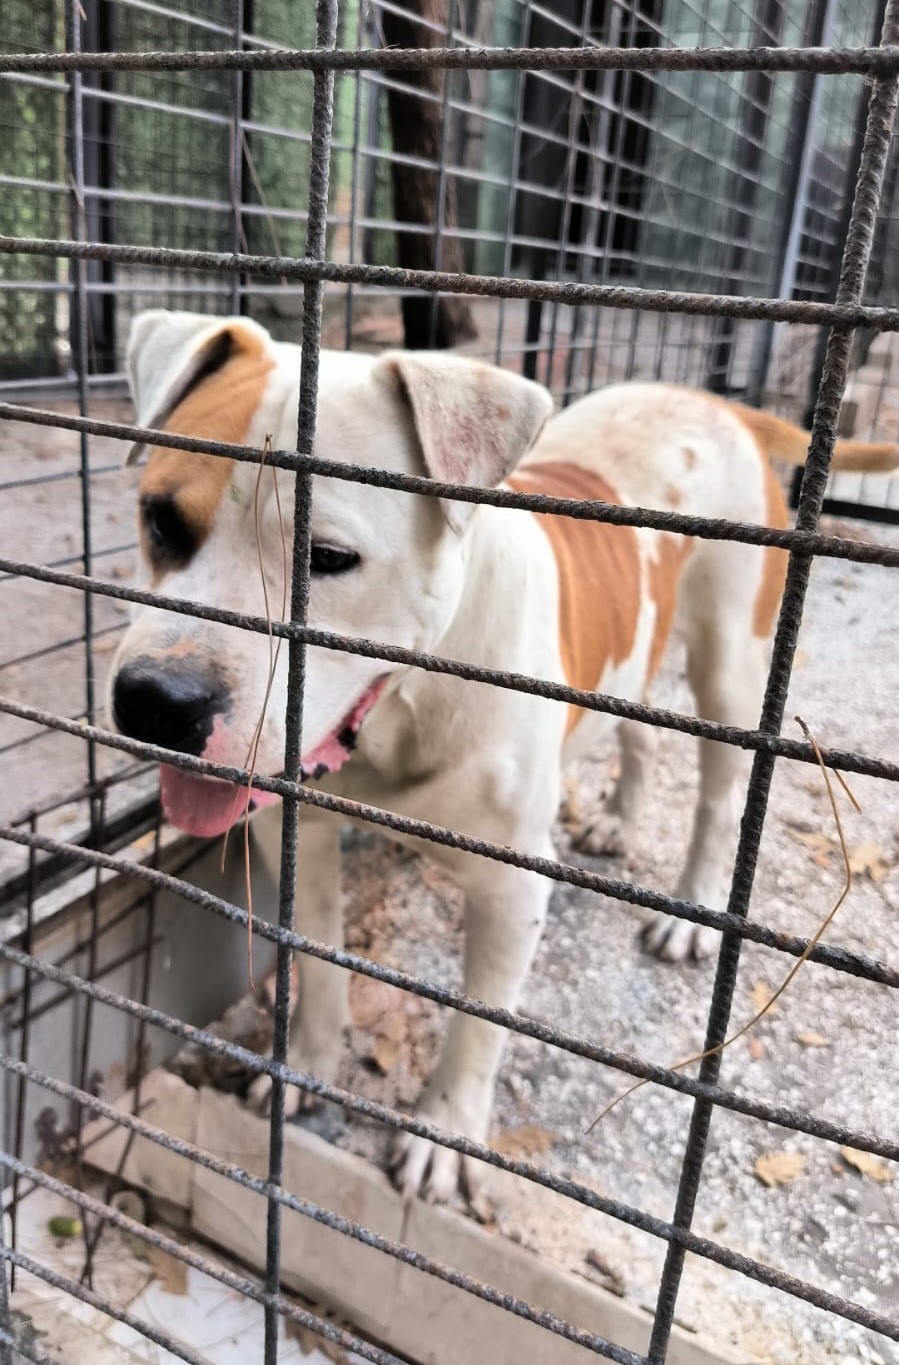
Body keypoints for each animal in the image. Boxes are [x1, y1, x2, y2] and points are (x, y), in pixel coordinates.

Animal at [109, 307, 894, 1195]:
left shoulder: (511, 890)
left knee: (719, 793)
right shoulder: (296, 835)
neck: (406, 706)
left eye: (328, 558)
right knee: (638, 735)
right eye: (161, 520)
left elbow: (477, 1022)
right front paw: (303, 1065)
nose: (158, 701)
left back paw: (690, 911)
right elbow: (322, 966)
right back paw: (617, 819)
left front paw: (443, 1133)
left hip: (731, 663)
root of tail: (710, 399)